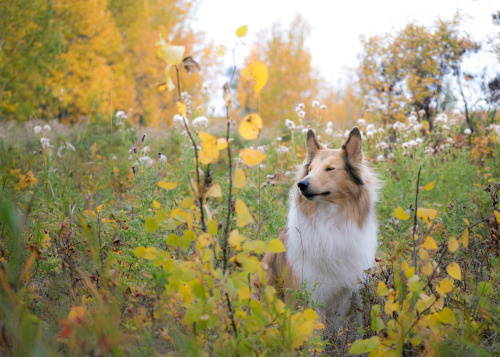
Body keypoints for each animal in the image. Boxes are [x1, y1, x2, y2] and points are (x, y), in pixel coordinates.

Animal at [254, 126, 378, 330]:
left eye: (330, 169)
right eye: (310, 169)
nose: (302, 184)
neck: (330, 219)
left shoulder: (351, 294)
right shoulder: (308, 294)